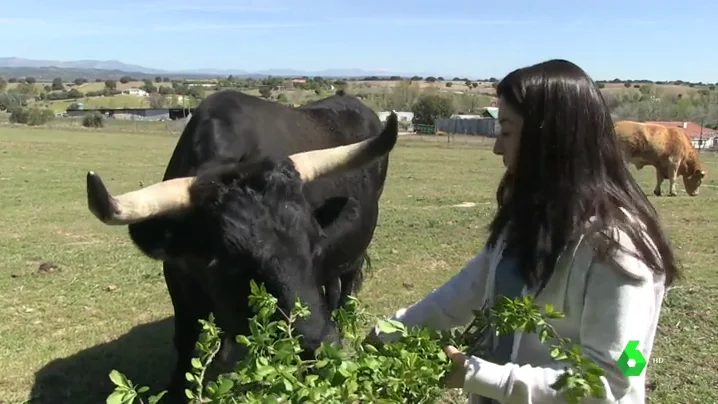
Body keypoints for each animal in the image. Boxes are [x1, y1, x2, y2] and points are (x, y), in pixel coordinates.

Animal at [86, 89, 400, 400]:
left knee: (346, 290)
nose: (320, 347)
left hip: (356, 254)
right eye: (226, 262)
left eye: (314, 242)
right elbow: (186, 338)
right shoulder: (177, 277)